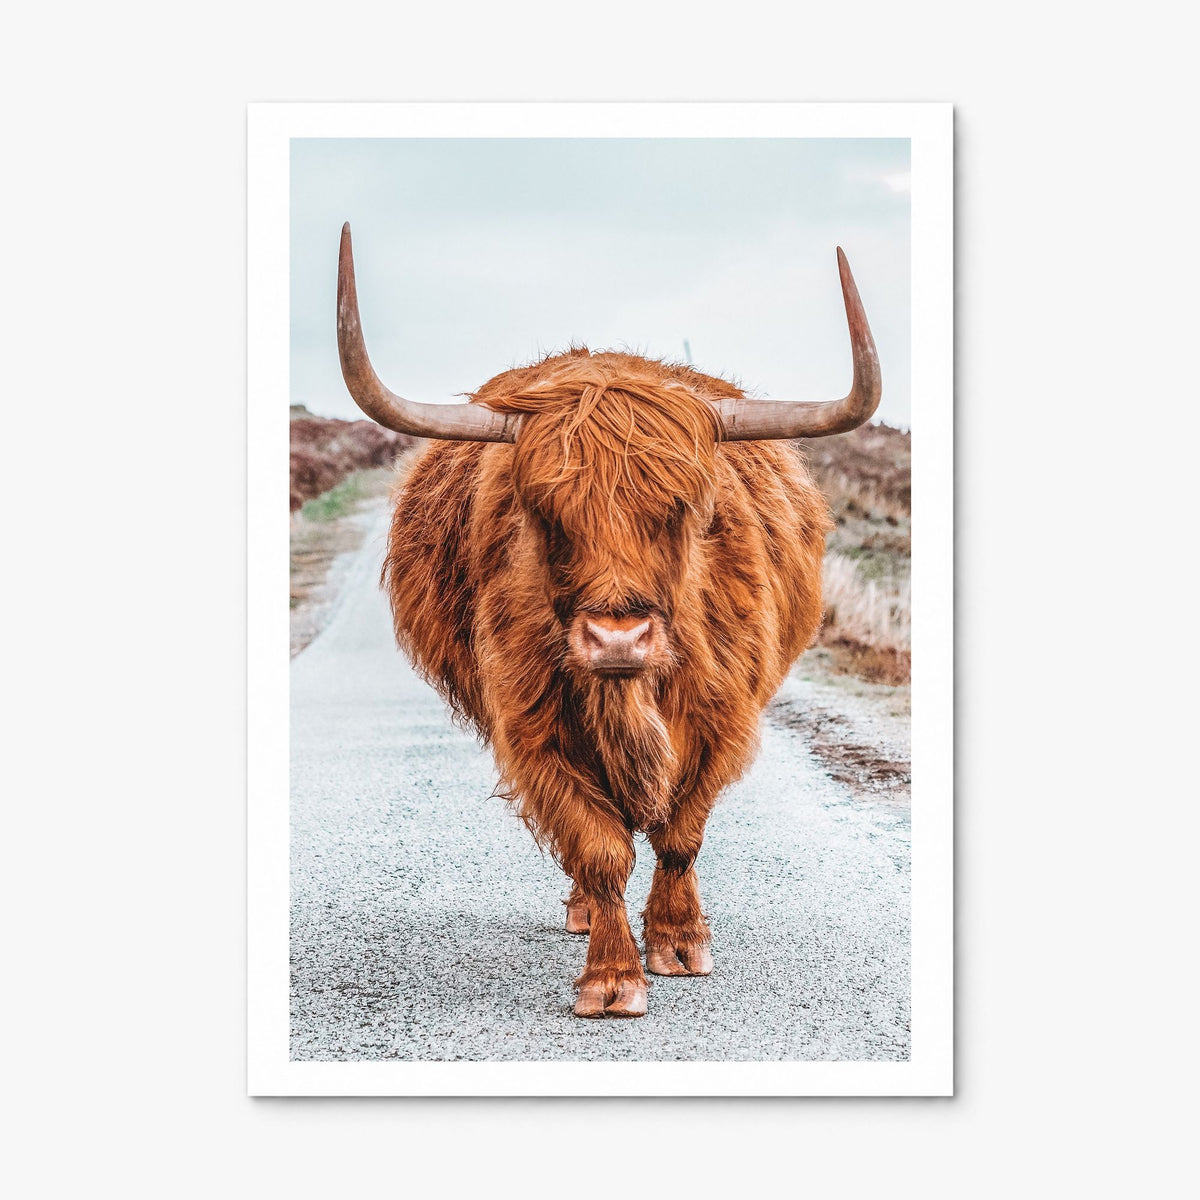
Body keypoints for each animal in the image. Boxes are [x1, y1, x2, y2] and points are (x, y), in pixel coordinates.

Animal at [334, 222, 881, 1018]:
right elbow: (597, 846)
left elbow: (680, 834)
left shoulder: (722, 716)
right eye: (543, 510)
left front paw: (679, 943)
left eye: (684, 507)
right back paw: (588, 912)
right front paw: (612, 975)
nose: (617, 638)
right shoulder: (535, 724)